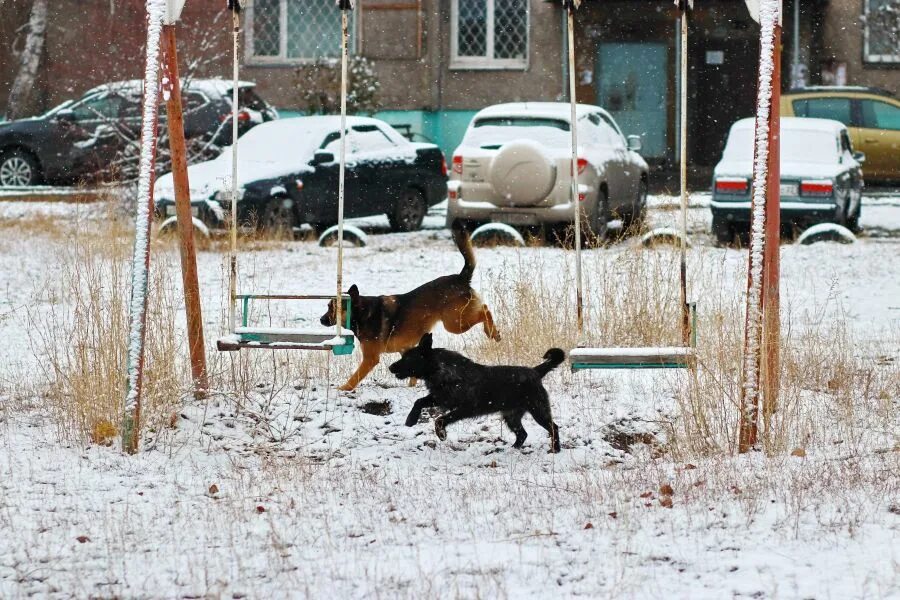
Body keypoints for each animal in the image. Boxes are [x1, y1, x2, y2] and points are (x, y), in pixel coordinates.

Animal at [320, 223, 500, 392]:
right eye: (328, 306)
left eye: (333, 308)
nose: (321, 320)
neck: (363, 313)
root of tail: (460, 278)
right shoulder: (405, 348)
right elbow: (411, 370)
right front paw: (412, 386)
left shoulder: (370, 358)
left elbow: (355, 376)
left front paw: (344, 388)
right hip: (456, 321)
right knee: (483, 308)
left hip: (454, 323)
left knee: (484, 310)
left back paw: (492, 332)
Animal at [386, 336, 564, 452]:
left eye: (408, 358)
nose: (390, 367)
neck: (441, 369)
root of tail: (535, 372)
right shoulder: (440, 398)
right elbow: (419, 401)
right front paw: (411, 419)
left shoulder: (463, 409)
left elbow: (440, 420)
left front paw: (441, 434)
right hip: (511, 416)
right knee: (522, 434)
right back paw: (513, 449)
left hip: (538, 410)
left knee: (553, 427)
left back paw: (555, 449)